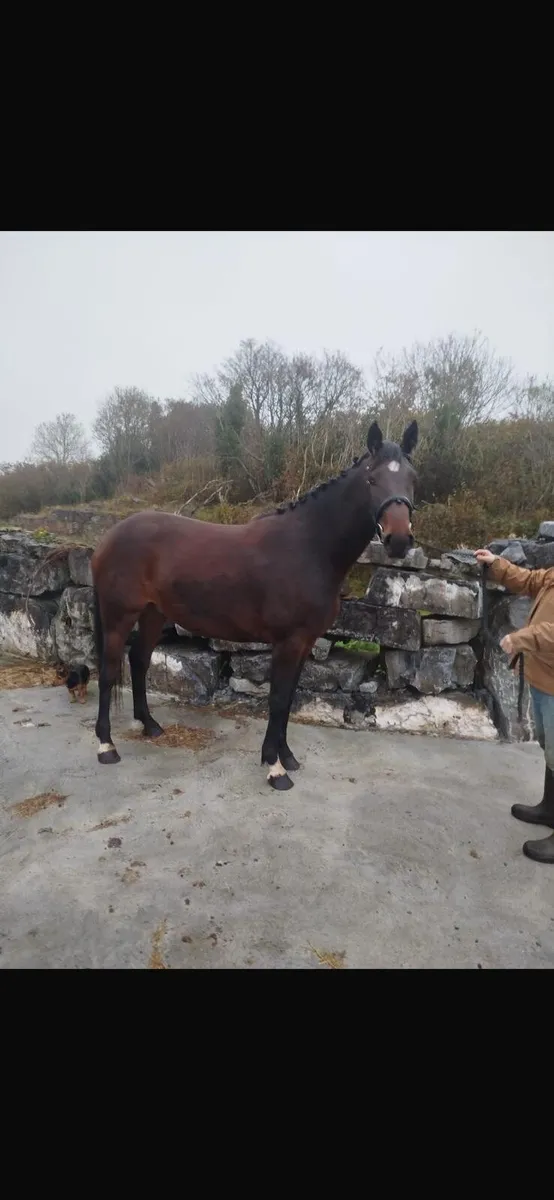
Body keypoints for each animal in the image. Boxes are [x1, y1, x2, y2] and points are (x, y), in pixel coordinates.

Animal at [91, 419, 418, 790]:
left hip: (151, 614)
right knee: (108, 670)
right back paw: (106, 746)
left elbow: (288, 699)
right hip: (118, 616)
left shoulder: (305, 642)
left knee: (139, 661)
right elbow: (276, 699)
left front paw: (287, 757)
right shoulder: (288, 642)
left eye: (412, 478)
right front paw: (275, 768)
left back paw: (150, 725)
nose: (399, 540)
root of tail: (108, 538)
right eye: (371, 479)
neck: (309, 547)